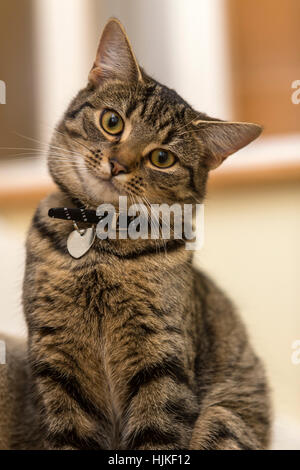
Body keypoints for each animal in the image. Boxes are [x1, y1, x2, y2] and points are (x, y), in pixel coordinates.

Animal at [0, 19, 270, 452]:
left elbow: (158, 432)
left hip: (224, 418)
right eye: (112, 122)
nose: (118, 164)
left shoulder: (162, 360)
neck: (102, 249)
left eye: (162, 157)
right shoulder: (56, 360)